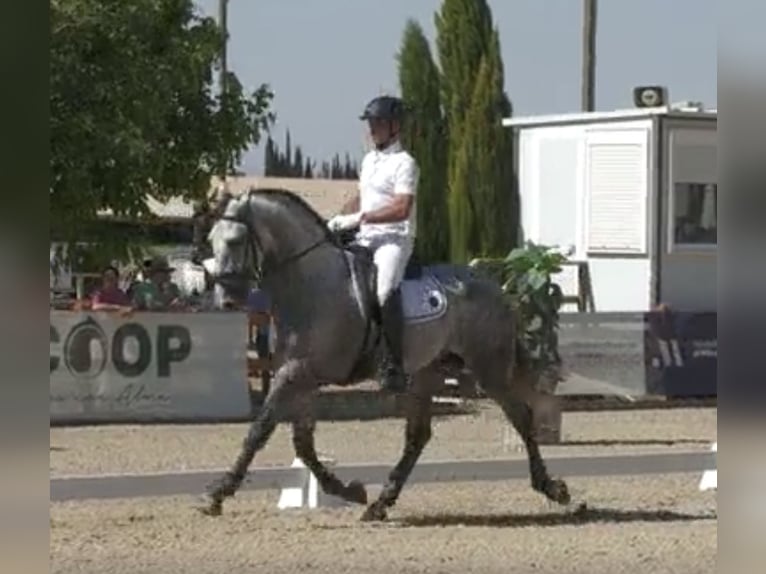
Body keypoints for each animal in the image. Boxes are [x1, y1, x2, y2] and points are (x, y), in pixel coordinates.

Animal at [201, 188, 572, 520]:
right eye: (210, 240)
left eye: (234, 241)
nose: (227, 300)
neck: (310, 283)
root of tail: (496, 289)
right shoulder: (303, 377)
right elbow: (303, 444)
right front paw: (347, 490)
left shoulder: (296, 374)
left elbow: (259, 431)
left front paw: (218, 494)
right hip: (427, 373)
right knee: (418, 436)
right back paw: (381, 503)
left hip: (488, 370)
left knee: (521, 416)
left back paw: (553, 489)